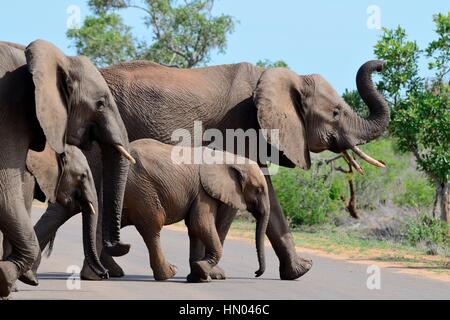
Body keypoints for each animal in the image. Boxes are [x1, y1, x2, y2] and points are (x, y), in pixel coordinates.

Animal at [122, 140, 270, 282]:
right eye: (258, 190)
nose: (256, 273)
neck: (230, 159)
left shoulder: (201, 191)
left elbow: (195, 229)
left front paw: (198, 278)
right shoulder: (203, 192)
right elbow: (200, 224)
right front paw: (201, 270)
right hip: (142, 190)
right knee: (152, 228)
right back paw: (169, 273)